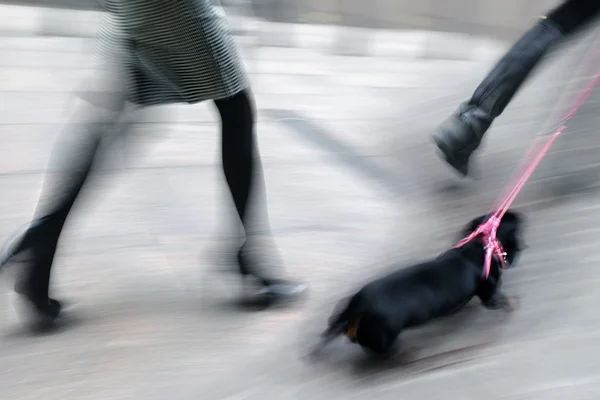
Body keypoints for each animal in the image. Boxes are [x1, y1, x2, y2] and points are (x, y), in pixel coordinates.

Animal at [314, 211, 524, 358]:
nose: (519, 214)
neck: (480, 246)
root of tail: (356, 307)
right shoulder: (489, 295)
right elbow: (501, 299)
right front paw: (513, 303)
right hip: (385, 335)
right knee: (379, 352)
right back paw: (404, 353)